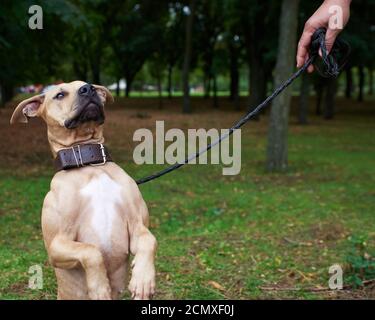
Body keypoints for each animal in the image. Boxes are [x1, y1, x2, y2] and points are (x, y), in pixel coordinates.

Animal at [10, 80, 157, 300]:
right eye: (60, 94)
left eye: (90, 86)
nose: (88, 88)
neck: (89, 165)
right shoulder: (57, 245)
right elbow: (91, 251)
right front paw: (100, 288)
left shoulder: (137, 225)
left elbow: (150, 240)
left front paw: (143, 279)